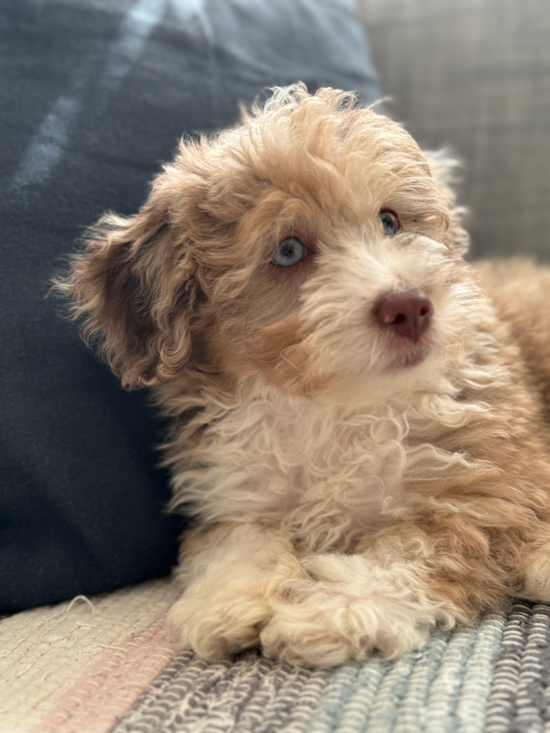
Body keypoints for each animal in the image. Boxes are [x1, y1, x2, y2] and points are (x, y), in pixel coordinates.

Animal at [57, 86, 550, 668]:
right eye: (288, 252)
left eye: (390, 221)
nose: (410, 306)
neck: (329, 407)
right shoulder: (228, 488)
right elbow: (234, 540)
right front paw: (230, 600)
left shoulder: (491, 497)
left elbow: (407, 553)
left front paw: (330, 609)